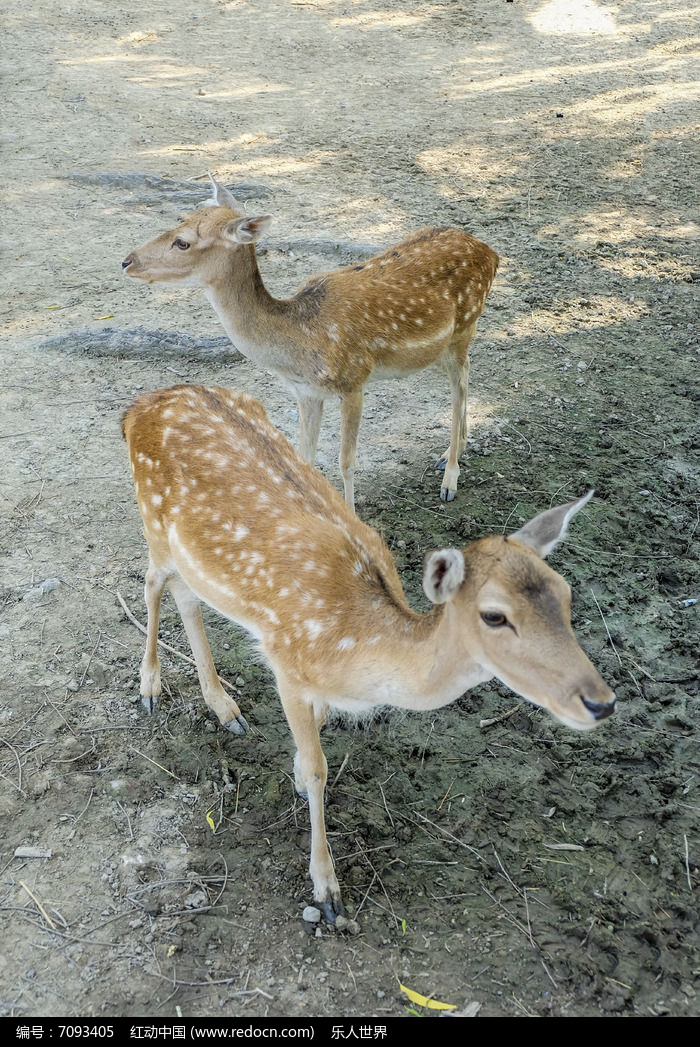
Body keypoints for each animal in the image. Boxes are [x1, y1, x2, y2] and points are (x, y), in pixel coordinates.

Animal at [122, 175, 500, 510]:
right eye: (180, 219)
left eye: (183, 241)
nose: (126, 260)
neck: (298, 343)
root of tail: (492, 252)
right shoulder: (305, 392)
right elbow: (304, 458)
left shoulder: (354, 381)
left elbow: (346, 462)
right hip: (444, 345)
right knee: (466, 375)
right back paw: (451, 453)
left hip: (464, 325)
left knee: (459, 387)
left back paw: (449, 479)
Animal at [122, 385, 615, 925]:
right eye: (494, 615)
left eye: (566, 595)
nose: (601, 702)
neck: (354, 651)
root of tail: (137, 409)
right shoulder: (287, 663)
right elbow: (320, 769)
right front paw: (326, 890)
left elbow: (314, 740)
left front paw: (295, 774)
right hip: (153, 523)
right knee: (151, 581)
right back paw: (150, 689)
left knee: (186, 595)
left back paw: (224, 707)